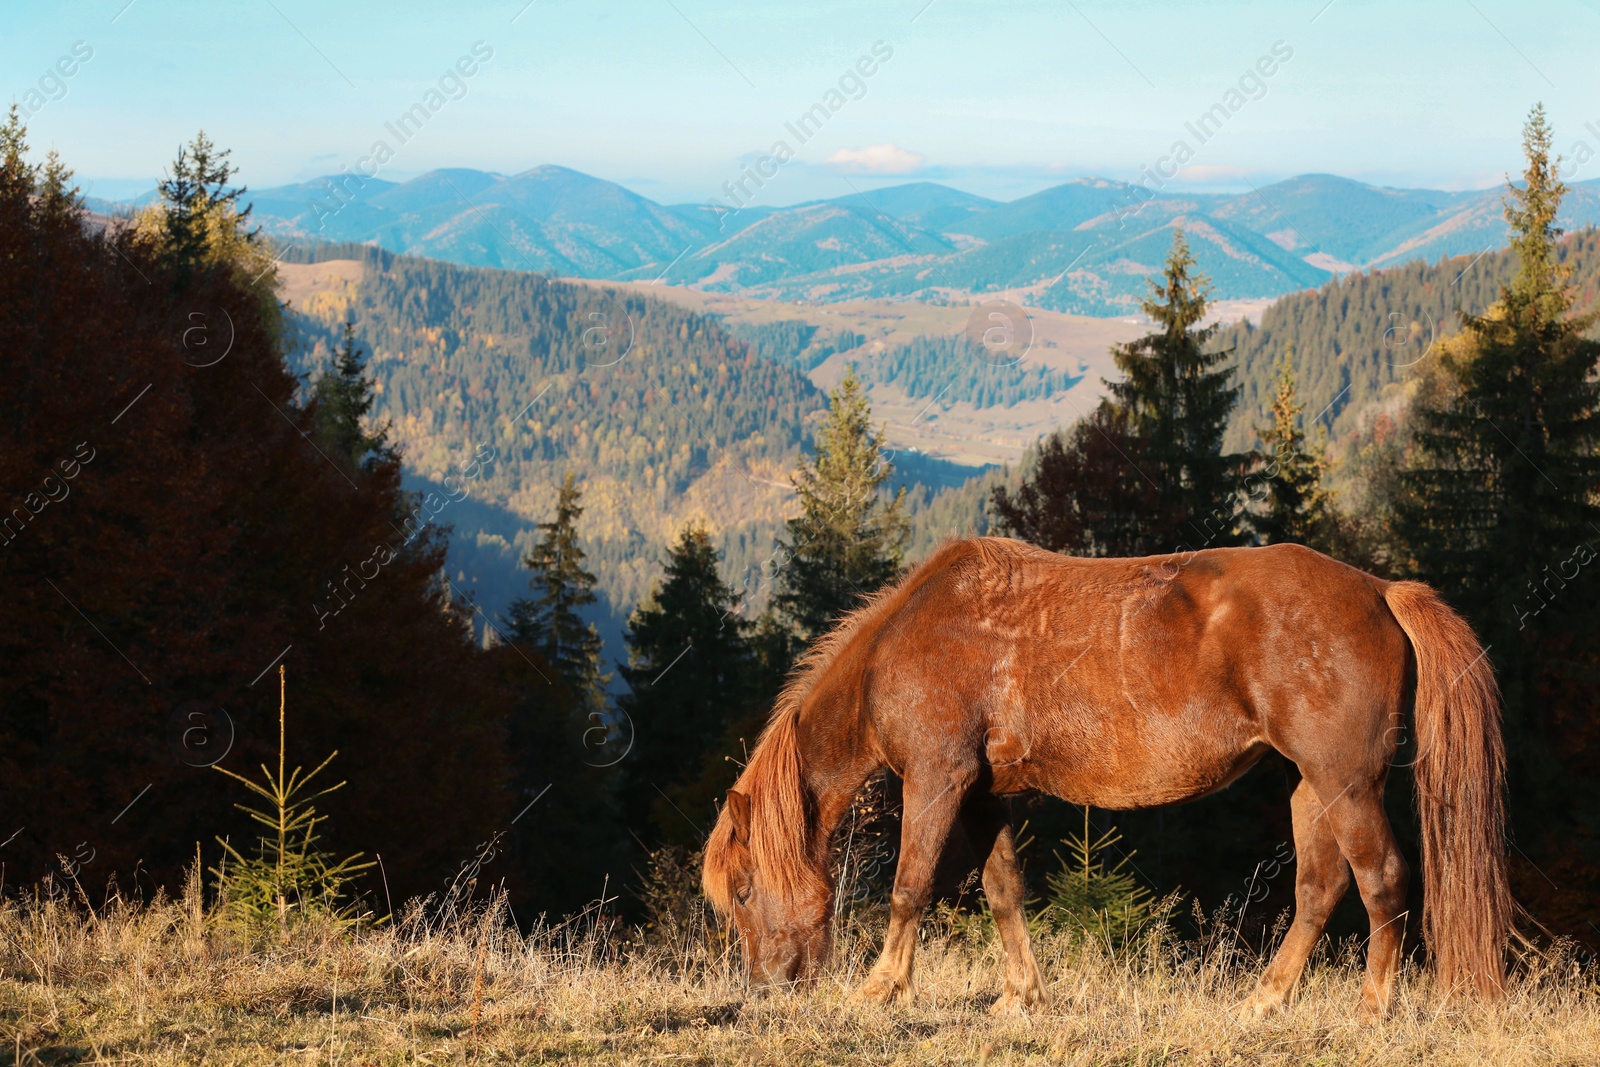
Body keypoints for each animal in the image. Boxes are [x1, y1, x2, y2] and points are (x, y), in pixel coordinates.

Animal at [704, 537, 1510, 1023]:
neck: (900, 646)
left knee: (1383, 880)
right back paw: (1264, 1001)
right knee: (1320, 887)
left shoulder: (936, 779)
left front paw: (881, 987)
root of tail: (1380, 589)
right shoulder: (984, 794)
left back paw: (1372, 1009)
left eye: (742, 891)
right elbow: (1004, 891)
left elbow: (910, 886)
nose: (765, 987)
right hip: (1310, 784)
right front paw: (1020, 996)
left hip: (1347, 782)